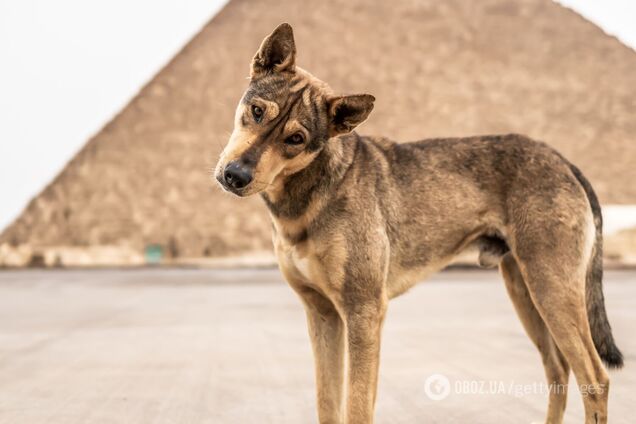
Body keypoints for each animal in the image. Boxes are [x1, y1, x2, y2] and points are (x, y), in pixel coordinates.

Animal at [216, 24, 624, 424]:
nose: (235, 175)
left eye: (296, 138)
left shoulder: (363, 312)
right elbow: (327, 404)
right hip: (526, 291)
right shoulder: (322, 315)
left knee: (595, 378)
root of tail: (563, 161)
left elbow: (357, 406)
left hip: (552, 289)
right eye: (256, 111)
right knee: (558, 370)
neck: (309, 192)